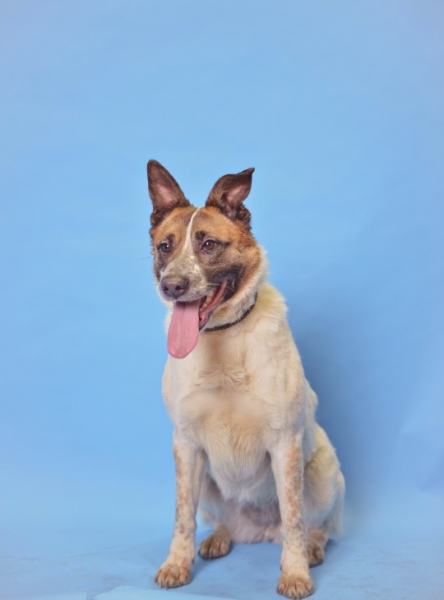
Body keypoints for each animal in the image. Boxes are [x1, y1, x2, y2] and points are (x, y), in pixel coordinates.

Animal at [146, 160, 345, 599]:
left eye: (208, 244)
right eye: (165, 246)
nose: (171, 286)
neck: (221, 338)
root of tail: (259, 531)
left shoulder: (285, 444)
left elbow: (294, 517)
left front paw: (295, 573)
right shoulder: (185, 445)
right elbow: (181, 516)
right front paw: (176, 564)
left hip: (323, 471)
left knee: (318, 525)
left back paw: (313, 548)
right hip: (207, 479)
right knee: (222, 521)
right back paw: (219, 537)